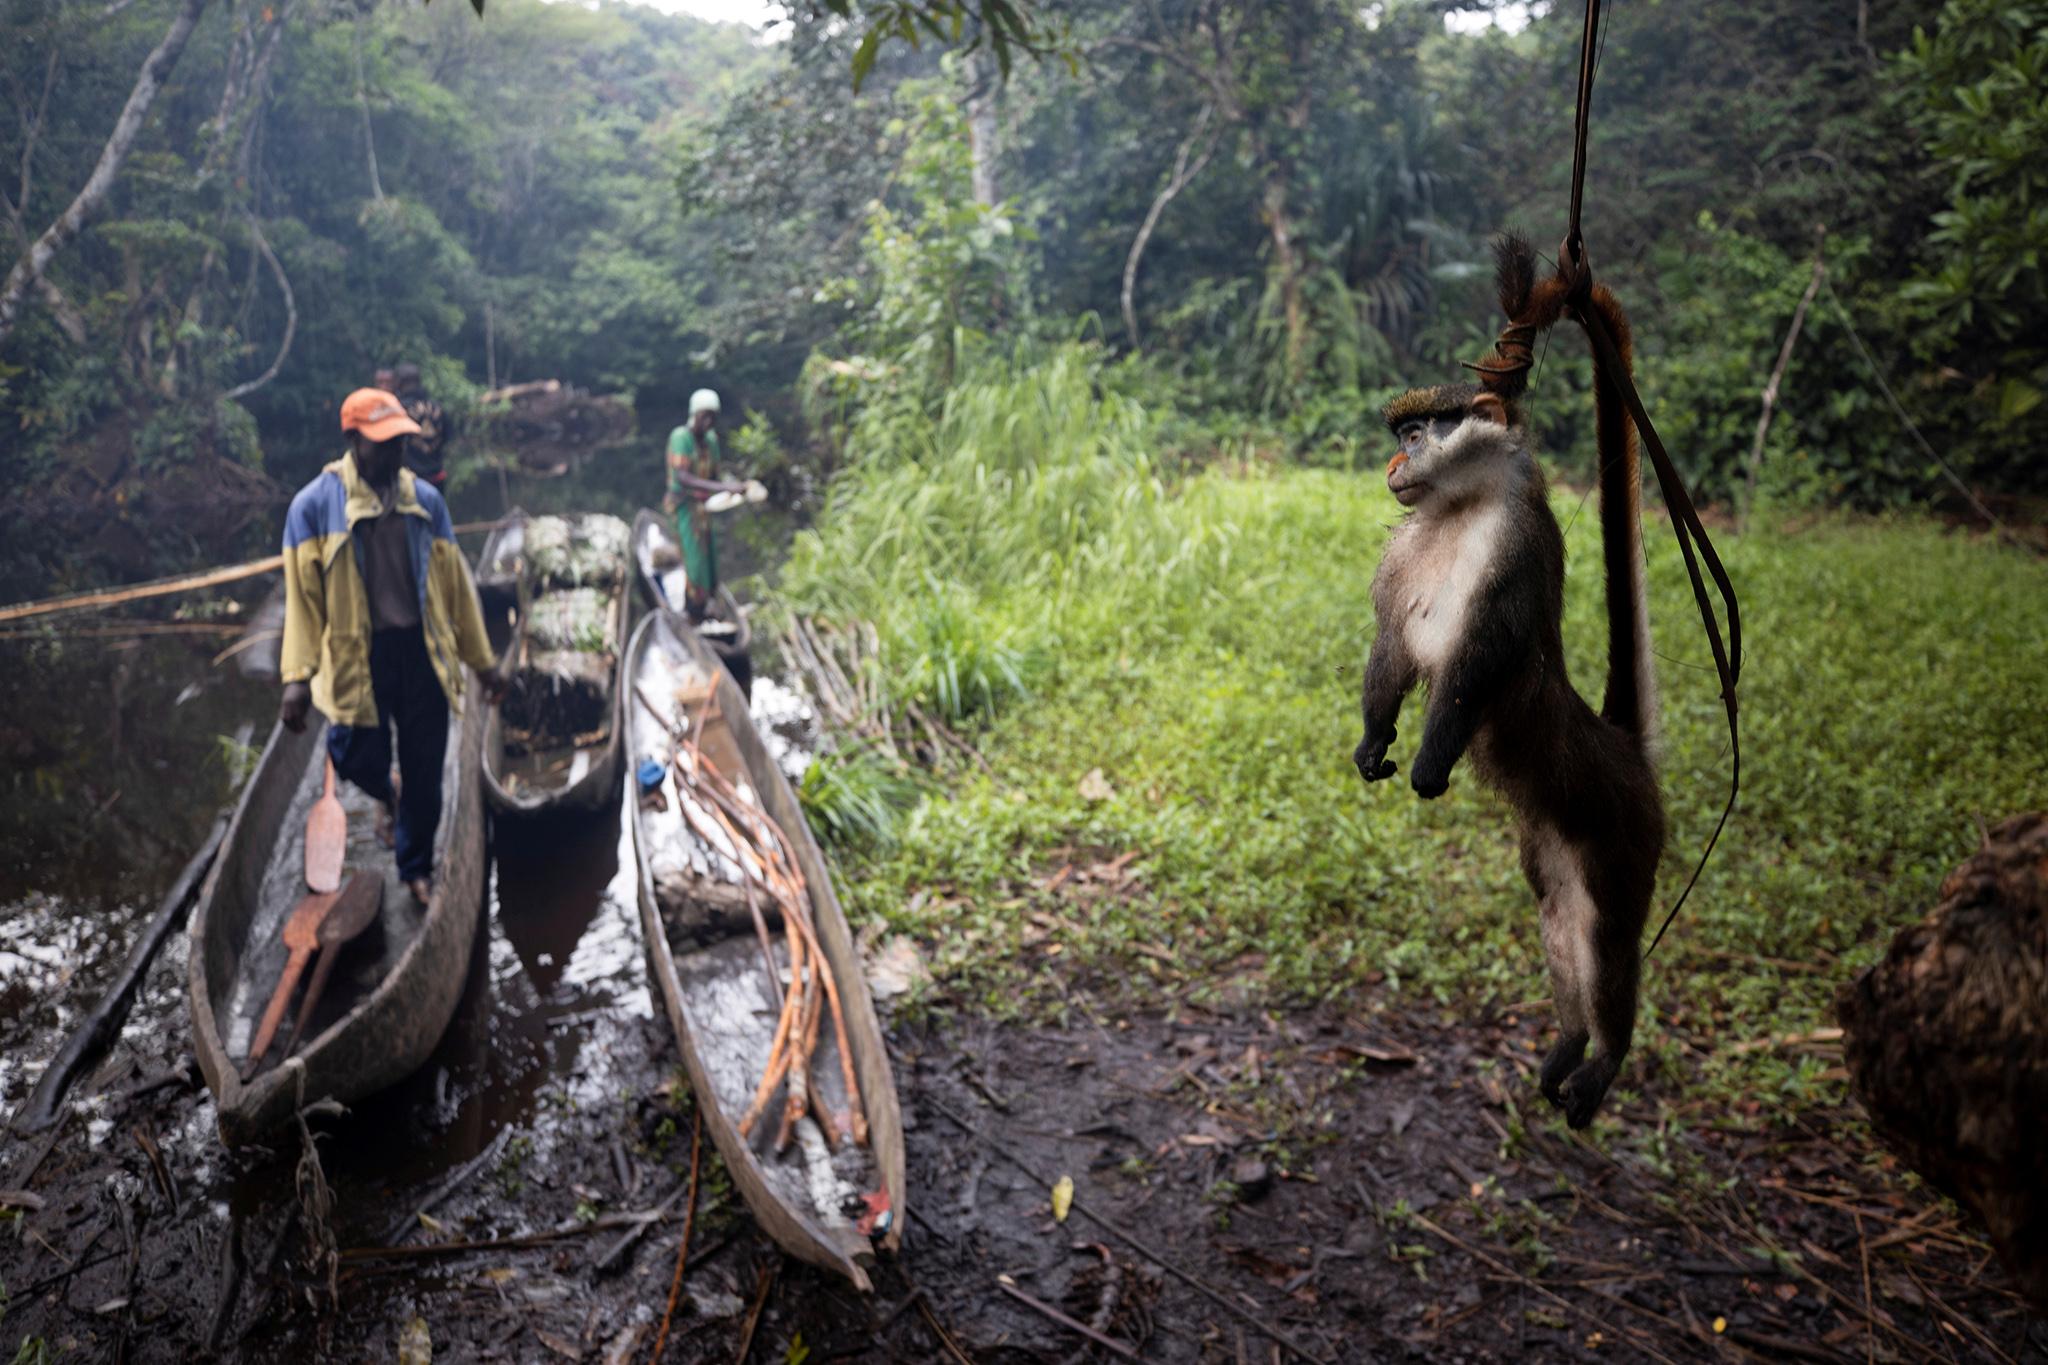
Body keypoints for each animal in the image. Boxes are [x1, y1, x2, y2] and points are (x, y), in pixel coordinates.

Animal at [1359, 235, 1662, 1129]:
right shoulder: (1405, 548)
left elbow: (1475, 662)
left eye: (1420, 429)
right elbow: (1394, 647)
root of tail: (1624, 752)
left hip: (1624, 841)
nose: (1394, 459)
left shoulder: (1516, 542)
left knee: (1609, 944)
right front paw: (1374, 741)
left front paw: (1429, 765)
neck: (1461, 507)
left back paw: (1605, 1058)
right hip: (1551, 850)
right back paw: (1568, 1041)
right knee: (1562, 928)